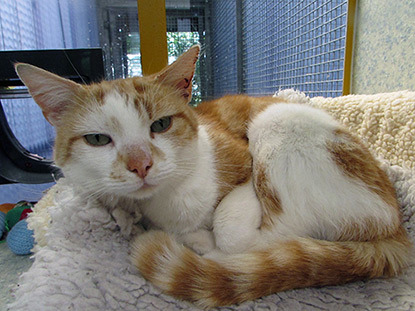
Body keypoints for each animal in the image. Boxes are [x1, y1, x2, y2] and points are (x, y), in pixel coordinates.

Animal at [16, 46, 412, 310]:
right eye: (98, 139)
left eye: (161, 124)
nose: (141, 164)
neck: (166, 202)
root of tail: (396, 225)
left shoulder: (240, 159)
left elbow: (230, 226)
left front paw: (205, 237)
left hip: (278, 122)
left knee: (281, 239)